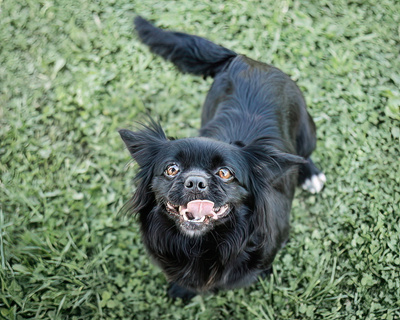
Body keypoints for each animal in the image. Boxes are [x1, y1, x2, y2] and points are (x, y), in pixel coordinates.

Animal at [119, 16, 324, 300]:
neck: (202, 246)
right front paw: (183, 289)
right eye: (172, 169)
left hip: (307, 130)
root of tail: (241, 58)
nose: (195, 182)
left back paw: (311, 174)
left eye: (225, 173)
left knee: (304, 153)